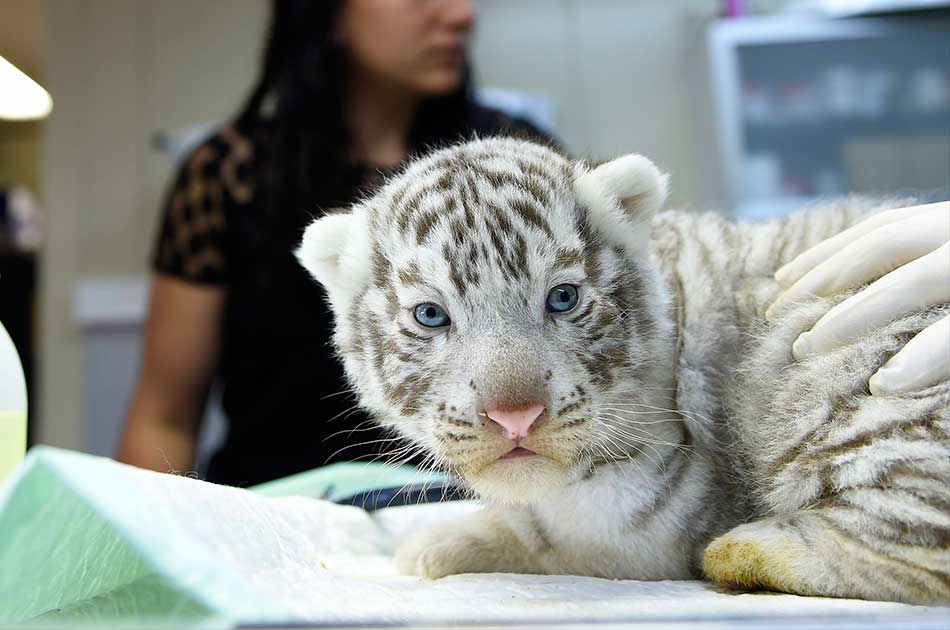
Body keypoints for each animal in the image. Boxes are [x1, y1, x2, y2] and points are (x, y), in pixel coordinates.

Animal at [295, 136, 950, 604]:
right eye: (430, 315)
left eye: (562, 298)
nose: (515, 415)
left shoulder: (648, 514)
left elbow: (547, 537)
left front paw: (435, 544)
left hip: (851, 376)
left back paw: (741, 550)